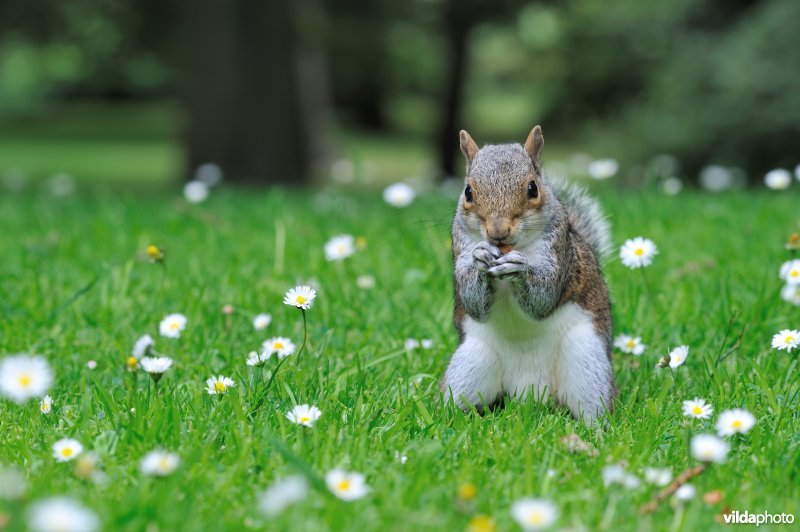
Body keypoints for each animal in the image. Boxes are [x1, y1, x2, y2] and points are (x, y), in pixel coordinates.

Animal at [440, 127, 616, 422]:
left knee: (595, 408)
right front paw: (480, 257)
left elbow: (543, 297)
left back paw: (595, 430)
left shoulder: (559, 254)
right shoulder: (460, 250)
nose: (498, 233)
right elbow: (473, 301)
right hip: (469, 366)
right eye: (468, 192)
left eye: (532, 188)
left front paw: (520, 269)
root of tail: (529, 395)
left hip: (587, 361)